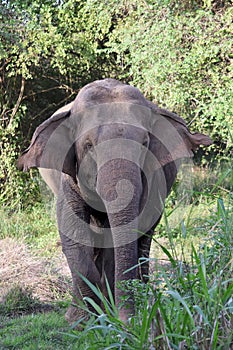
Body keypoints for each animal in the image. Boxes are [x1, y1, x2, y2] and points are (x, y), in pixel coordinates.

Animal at [17, 78, 212, 322]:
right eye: (88, 145)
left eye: (145, 143)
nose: (128, 321)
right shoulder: (68, 178)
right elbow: (73, 233)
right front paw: (79, 321)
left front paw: (112, 315)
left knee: (141, 242)